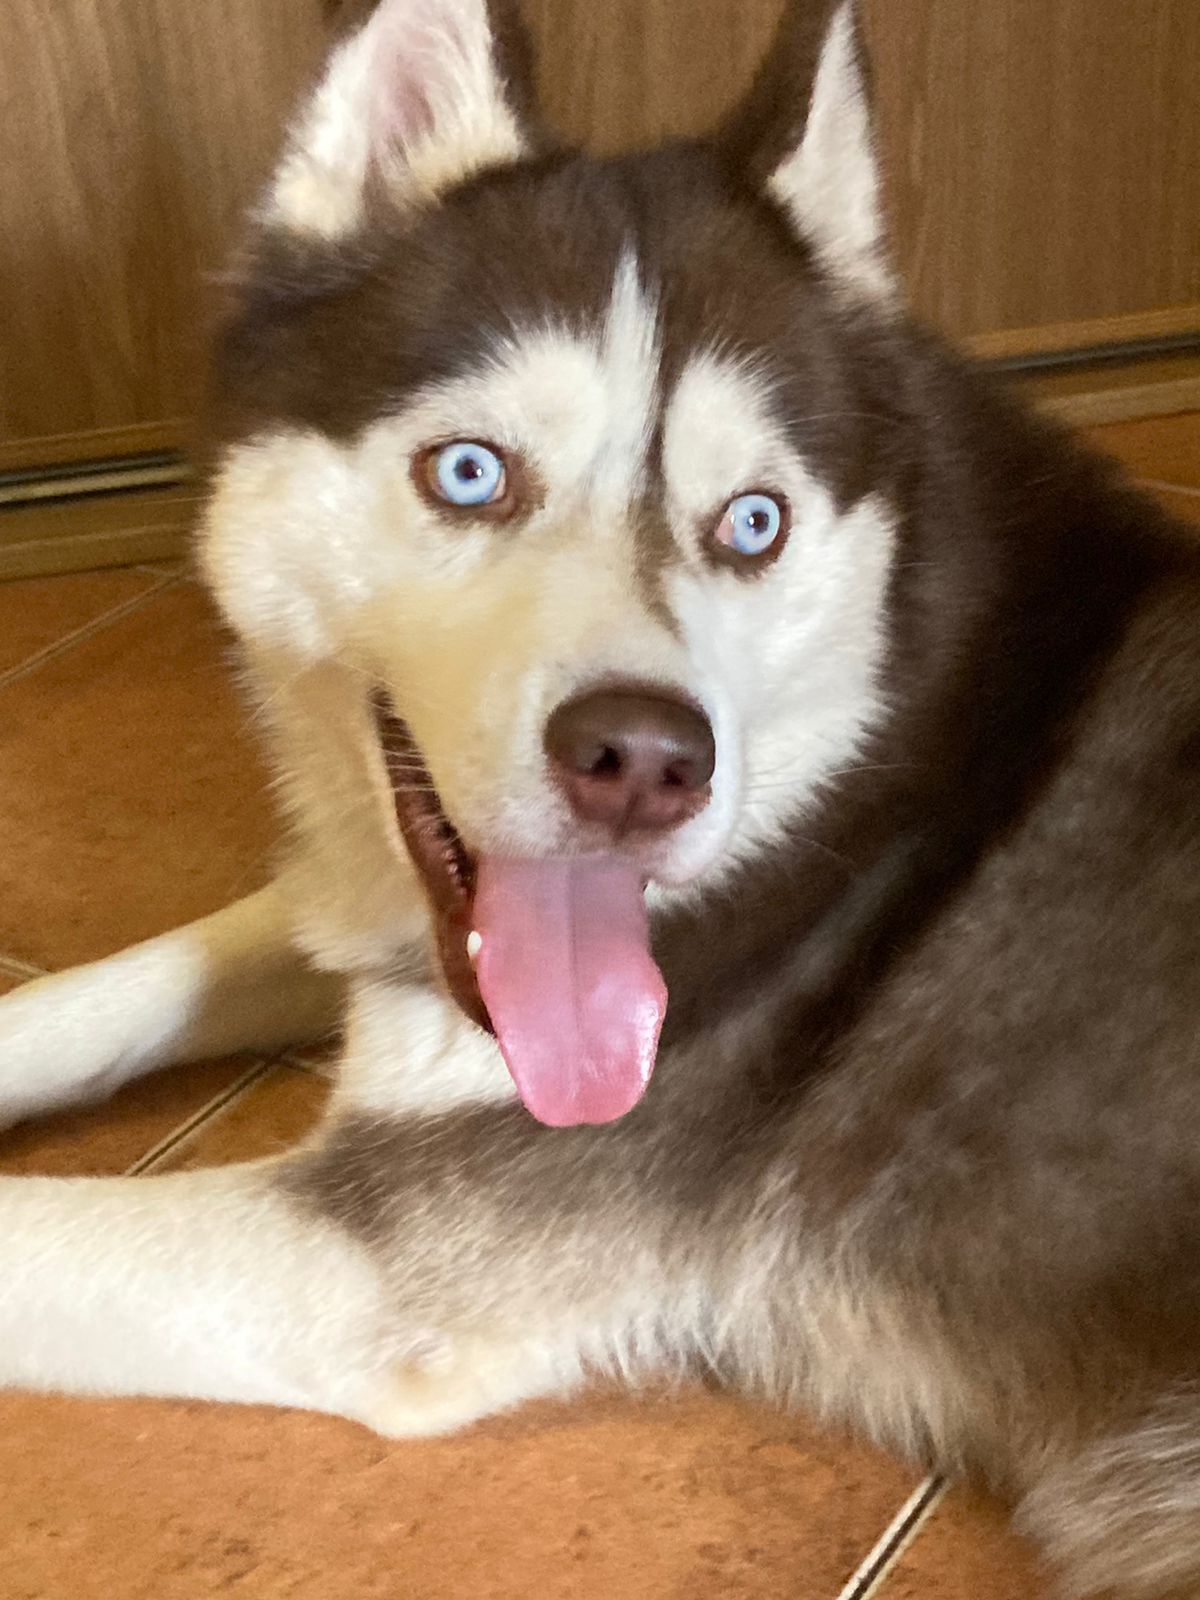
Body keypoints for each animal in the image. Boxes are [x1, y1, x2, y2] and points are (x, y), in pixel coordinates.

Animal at [2, 1, 1198, 1593]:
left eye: (751, 522)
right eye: (469, 471)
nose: (644, 762)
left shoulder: (377, 1266)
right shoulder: (369, 918)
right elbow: (115, 986)